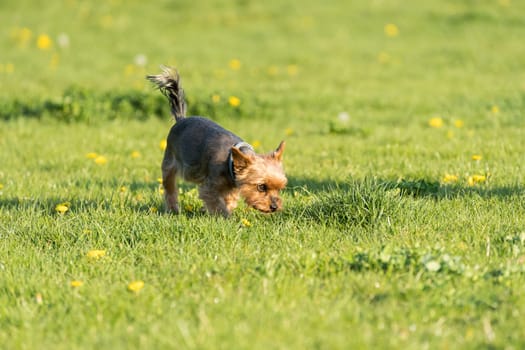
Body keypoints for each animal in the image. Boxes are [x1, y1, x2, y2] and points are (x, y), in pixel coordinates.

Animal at [146, 66, 286, 216]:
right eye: (261, 187)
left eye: (280, 188)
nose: (274, 207)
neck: (230, 161)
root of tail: (181, 119)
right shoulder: (210, 187)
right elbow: (217, 204)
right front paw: (226, 217)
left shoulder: (231, 188)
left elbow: (229, 201)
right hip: (170, 163)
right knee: (170, 188)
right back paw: (173, 210)